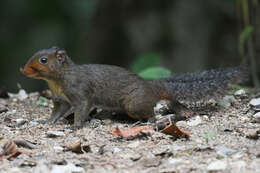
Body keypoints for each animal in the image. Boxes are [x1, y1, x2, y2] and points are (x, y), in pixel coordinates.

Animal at [19, 46, 248, 127]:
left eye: (43, 61)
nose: (23, 69)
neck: (57, 79)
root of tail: (151, 87)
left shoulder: (80, 91)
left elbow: (82, 107)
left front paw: (76, 125)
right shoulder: (61, 100)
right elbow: (57, 112)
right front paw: (47, 122)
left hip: (134, 103)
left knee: (150, 112)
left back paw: (148, 121)